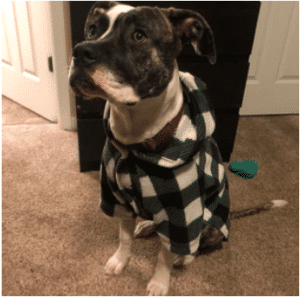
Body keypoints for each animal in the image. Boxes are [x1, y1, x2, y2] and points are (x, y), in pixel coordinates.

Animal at [69, 2, 288, 294]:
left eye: (139, 35)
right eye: (93, 30)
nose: (81, 51)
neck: (137, 139)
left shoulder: (181, 215)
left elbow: (165, 255)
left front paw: (159, 283)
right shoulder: (117, 198)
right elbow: (124, 237)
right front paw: (120, 261)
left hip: (207, 222)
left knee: (197, 246)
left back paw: (183, 257)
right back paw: (147, 225)